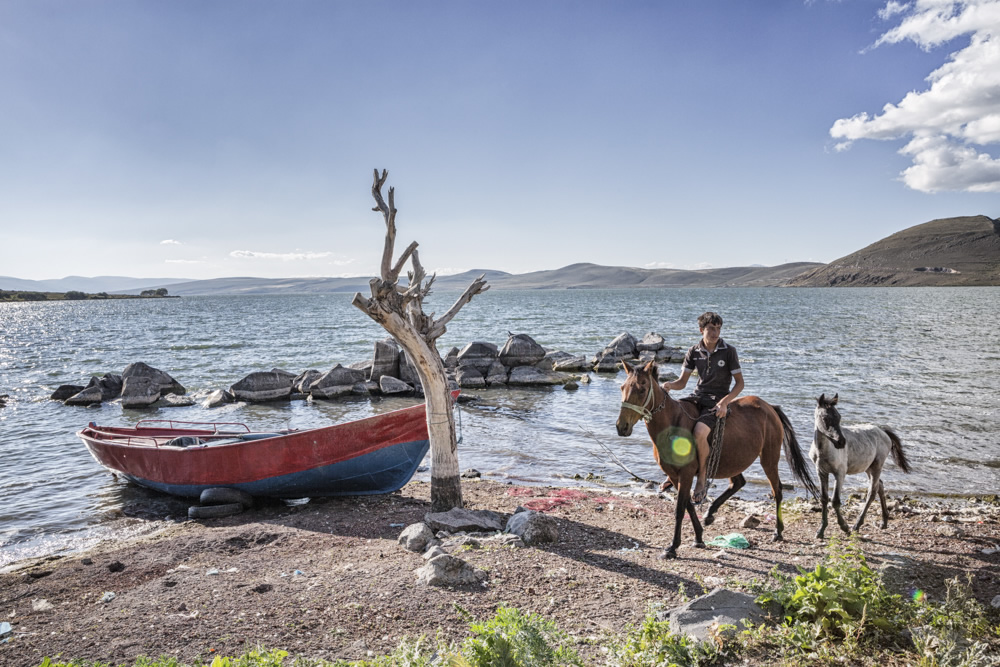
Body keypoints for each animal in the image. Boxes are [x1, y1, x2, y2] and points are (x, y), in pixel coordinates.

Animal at [612, 360, 816, 560]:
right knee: (738, 482)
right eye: (622, 387)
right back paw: (710, 513)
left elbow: (680, 509)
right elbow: (688, 505)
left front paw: (672, 547)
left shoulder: (686, 474)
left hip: (769, 458)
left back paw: (778, 531)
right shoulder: (675, 475)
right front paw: (699, 537)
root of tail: (770, 408)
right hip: (733, 460)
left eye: (642, 389)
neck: (672, 425)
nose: (622, 427)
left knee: (777, 490)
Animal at [812, 394, 916, 540]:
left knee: (872, 492)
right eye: (825, 418)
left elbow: (835, 501)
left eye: (839, 417)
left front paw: (845, 528)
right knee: (880, 486)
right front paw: (820, 531)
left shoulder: (840, 473)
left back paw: (857, 525)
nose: (841, 442)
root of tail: (883, 431)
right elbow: (824, 499)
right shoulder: (821, 472)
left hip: (877, 465)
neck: (823, 451)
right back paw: (884, 522)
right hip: (868, 467)